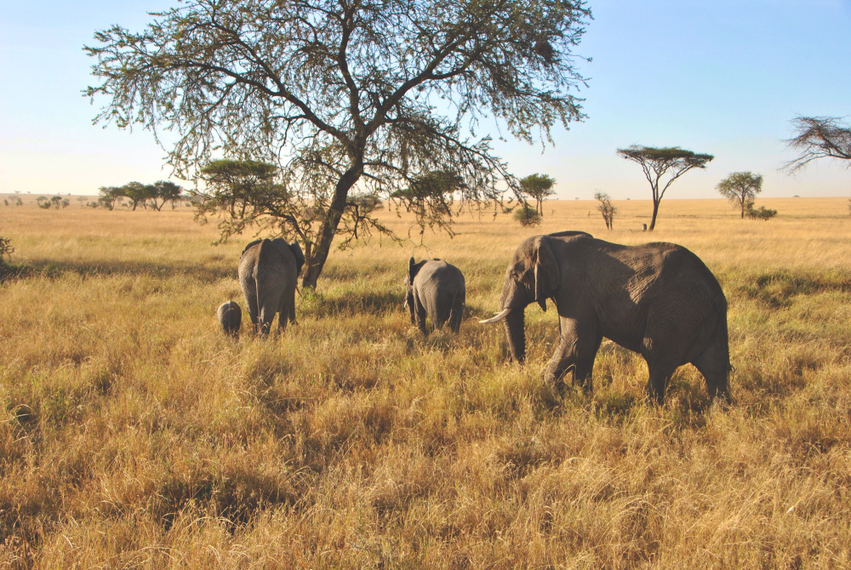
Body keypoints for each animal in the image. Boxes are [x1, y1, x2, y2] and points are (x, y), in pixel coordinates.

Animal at [480, 229, 732, 402]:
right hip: (705, 320)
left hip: (674, 316)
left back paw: (649, 411)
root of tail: (715, 292)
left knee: (658, 362)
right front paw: (583, 397)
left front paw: (564, 395)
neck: (551, 240)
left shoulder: (575, 291)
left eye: (516, 274)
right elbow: (587, 346)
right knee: (715, 368)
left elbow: (576, 343)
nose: (521, 370)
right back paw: (719, 415)